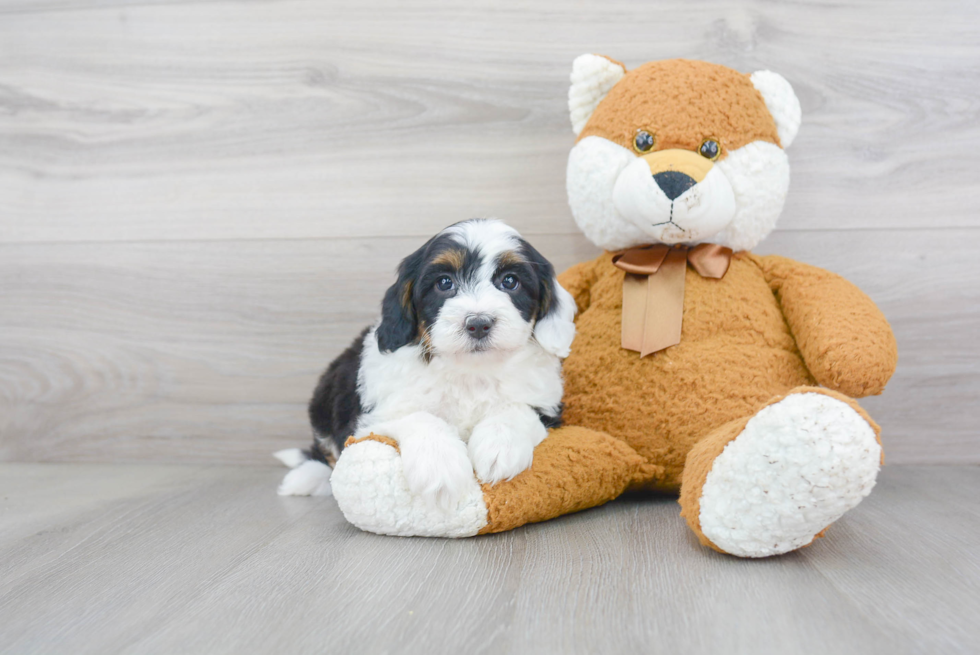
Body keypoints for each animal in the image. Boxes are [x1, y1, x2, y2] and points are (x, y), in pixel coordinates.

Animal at [276, 220, 580, 508]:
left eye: (510, 281)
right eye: (444, 283)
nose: (478, 323)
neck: (470, 371)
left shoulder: (547, 406)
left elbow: (517, 409)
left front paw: (499, 447)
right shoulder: (373, 418)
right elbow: (419, 416)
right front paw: (440, 467)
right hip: (327, 394)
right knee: (325, 450)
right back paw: (305, 477)